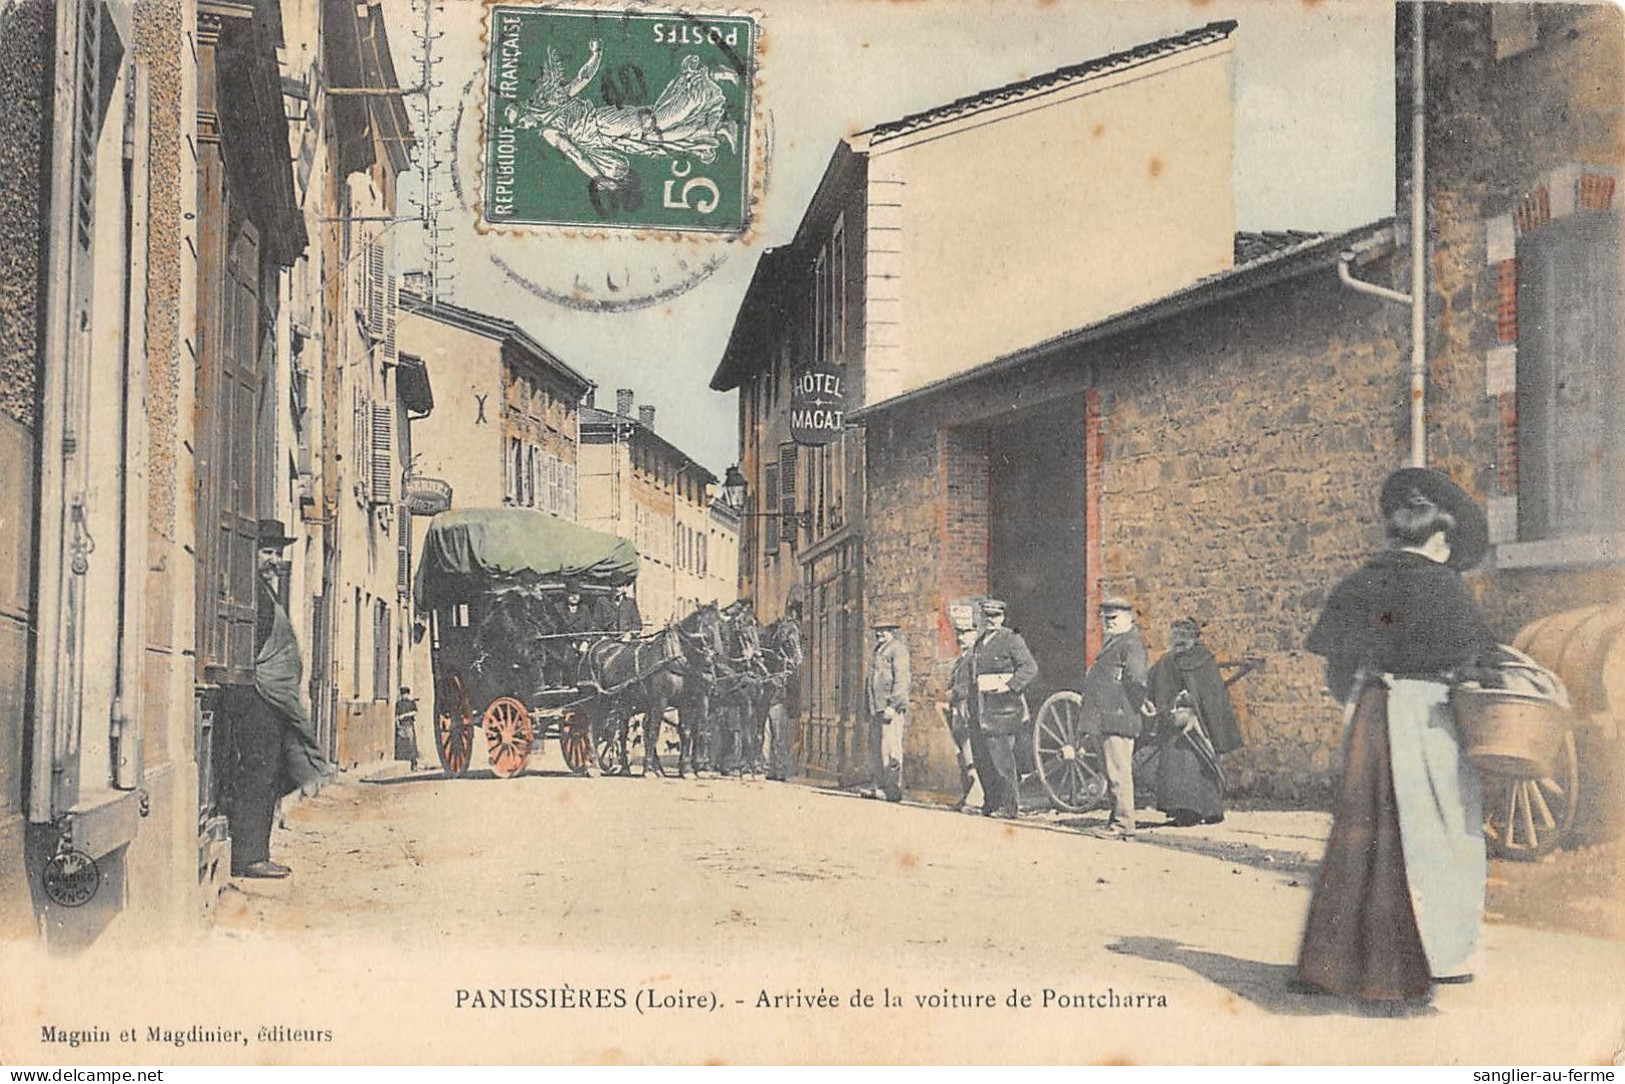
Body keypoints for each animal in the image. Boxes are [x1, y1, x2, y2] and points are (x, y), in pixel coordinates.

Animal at [581, 607, 715, 776]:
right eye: (707, 627)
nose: (710, 671)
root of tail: (595, 646)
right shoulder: (659, 702)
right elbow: (653, 733)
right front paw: (650, 770)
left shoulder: (685, 702)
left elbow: (687, 731)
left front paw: (687, 769)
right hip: (594, 701)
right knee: (592, 729)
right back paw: (593, 766)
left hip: (621, 704)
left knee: (618, 732)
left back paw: (623, 767)